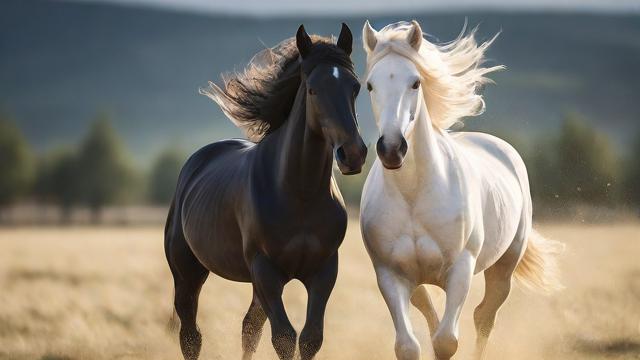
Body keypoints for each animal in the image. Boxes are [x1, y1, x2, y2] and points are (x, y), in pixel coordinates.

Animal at [162, 23, 368, 358]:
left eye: (355, 87)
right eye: (312, 89)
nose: (352, 154)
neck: (300, 193)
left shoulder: (324, 272)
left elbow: (310, 337)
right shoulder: (266, 270)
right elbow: (284, 337)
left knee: (249, 329)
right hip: (187, 274)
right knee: (191, 335)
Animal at [360, 20, 564, 360]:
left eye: (415, 83)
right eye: (369, 86)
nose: (391, 149)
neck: (414, 194)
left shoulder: (460, 270)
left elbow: (447, 342)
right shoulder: (390, 274)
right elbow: (409, 345)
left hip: (504, 267)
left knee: (484, 317)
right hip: (418, 283)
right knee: (432, 314)